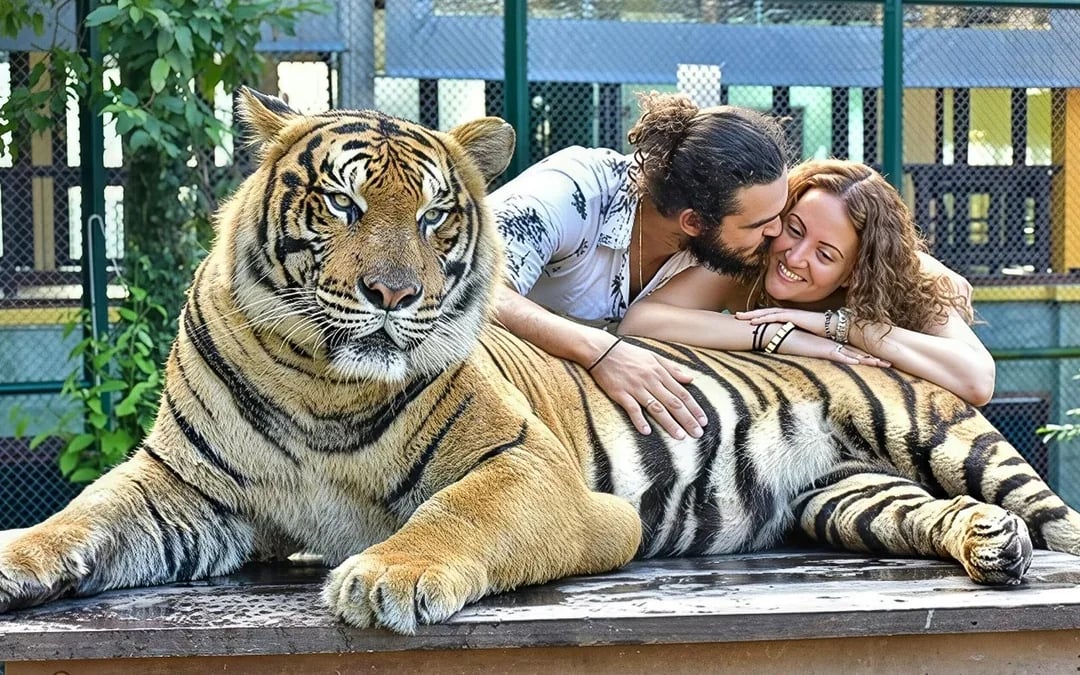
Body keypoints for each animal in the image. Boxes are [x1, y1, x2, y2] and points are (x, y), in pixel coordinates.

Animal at [0, 87, 1077, 636]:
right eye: (344, 204)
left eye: (436, 215)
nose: (394, 296)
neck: (320, 380)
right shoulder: (182, 485)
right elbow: (80, 519)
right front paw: (16, 558)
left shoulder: (531, 469)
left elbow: (455, 515)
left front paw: (385, 577)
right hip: (845, 496)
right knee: (926, 512)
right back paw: (988, 546)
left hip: (945, 434)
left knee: (1049, 511)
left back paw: (1020, 541)